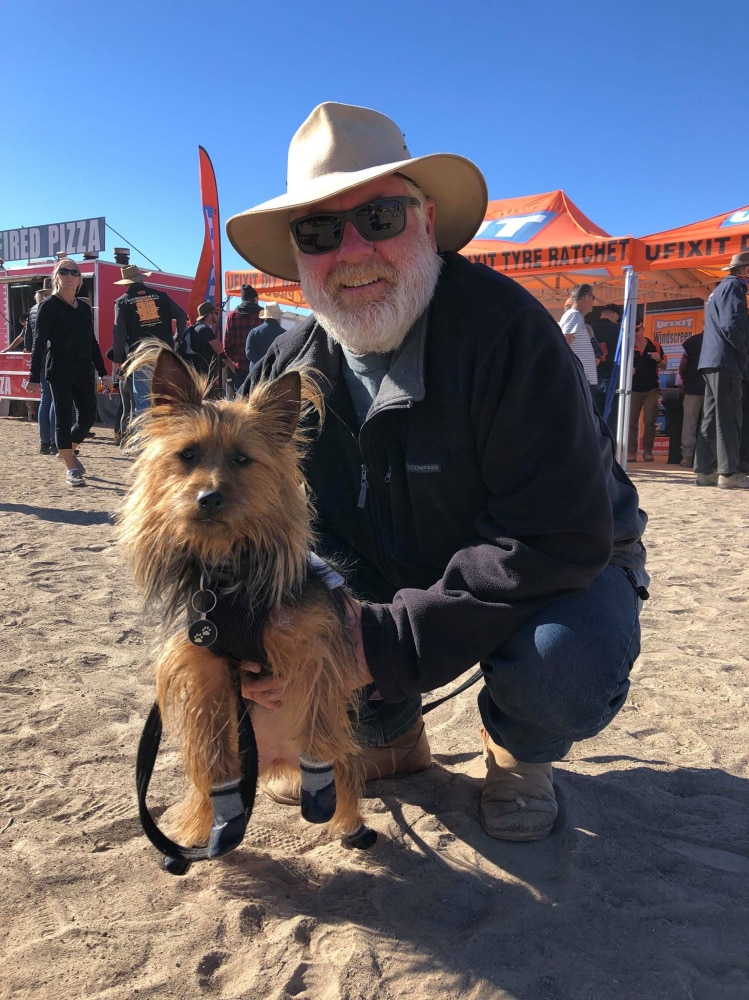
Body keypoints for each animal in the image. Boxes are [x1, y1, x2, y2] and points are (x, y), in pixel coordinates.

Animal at [120, 344, 372, 868]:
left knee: (343, 770)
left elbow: (319, 715)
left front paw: (319, 783)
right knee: (208, 790)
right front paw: (223, 807)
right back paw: (204, 836)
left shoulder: (316, 646)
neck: (228, 578)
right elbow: (215, 756)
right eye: (187, 455)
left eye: (242, 459)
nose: (208, 497)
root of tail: (275, 760)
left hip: (341, 755)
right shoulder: (206, 670)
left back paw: (347, 821)